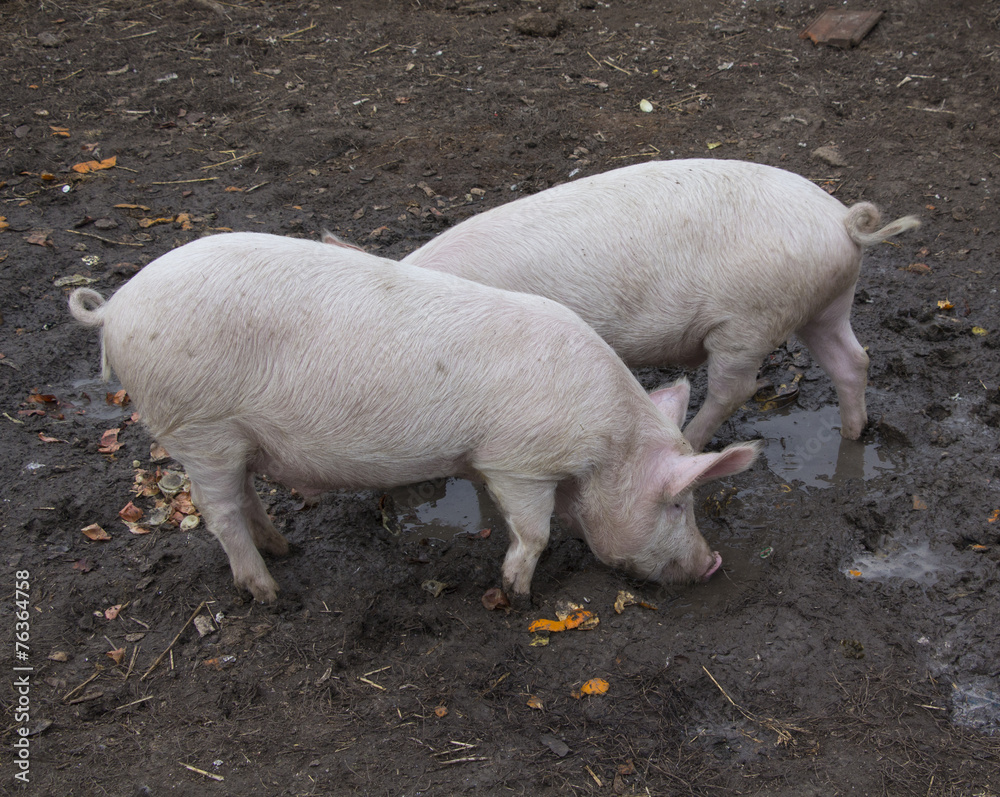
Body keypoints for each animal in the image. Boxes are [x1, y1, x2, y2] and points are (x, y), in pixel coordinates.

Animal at [68, 232, 760, 603]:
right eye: (679, 502)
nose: (714, 563)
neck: (604, 443)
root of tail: (117, 307)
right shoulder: (520, 461)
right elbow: (533, 531)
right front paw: (516, 594)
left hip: (228, 438)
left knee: (243, 497)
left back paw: (286, 548)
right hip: (199, 427)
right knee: (220, 512)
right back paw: (267, 591)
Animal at [394, 159, 920, 451]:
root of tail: (843, 222)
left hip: (749, 320)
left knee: (735, 389)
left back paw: (691, 443)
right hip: (824, 305)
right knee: (853, 360)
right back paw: (853, 435)